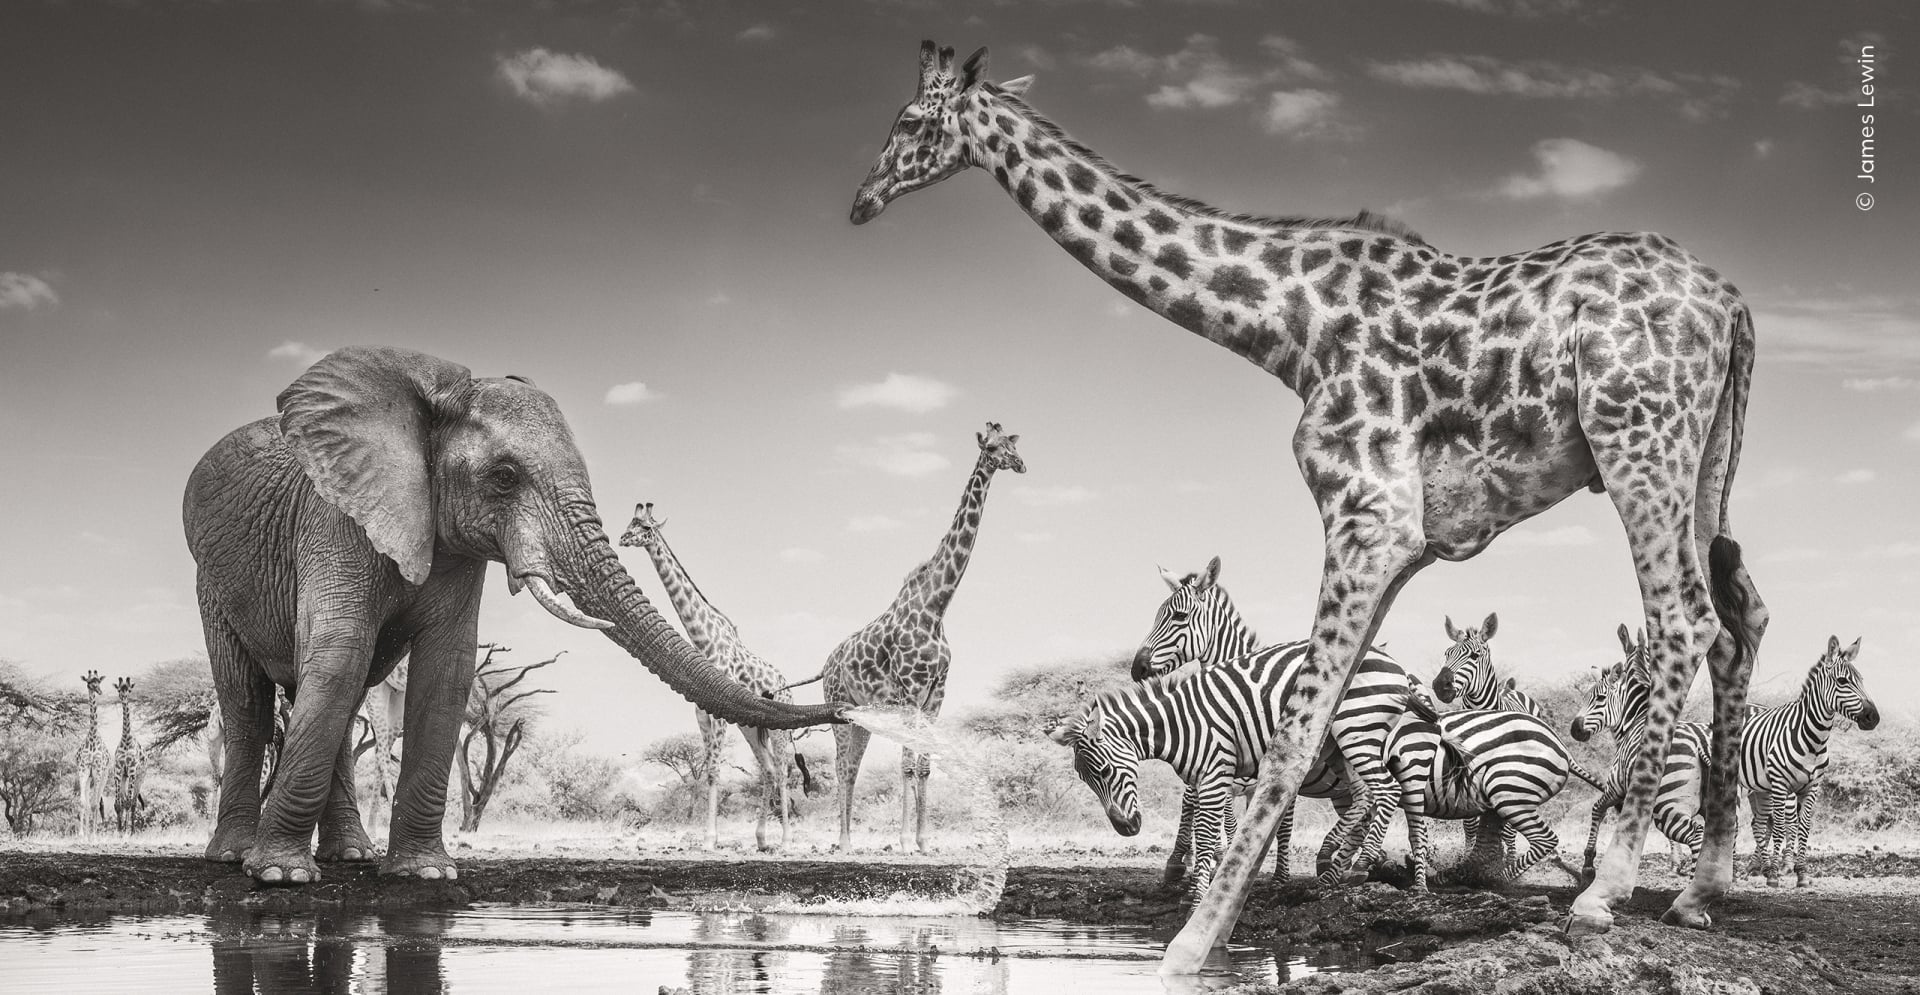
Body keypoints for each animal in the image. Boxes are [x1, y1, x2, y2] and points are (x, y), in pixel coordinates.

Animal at [619, 502, 812, 851]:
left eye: (647, 528)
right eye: (631, 523)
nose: (623, 538)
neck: (704, 640)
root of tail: (787, 687)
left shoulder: (720, 715)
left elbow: (714, 771)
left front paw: (710, 839)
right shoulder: (701, 711)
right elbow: (710, 768)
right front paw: (711, 836)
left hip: (778, 729)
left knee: (783, 770)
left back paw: (786, 840)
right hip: (752, 728)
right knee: (767, 769)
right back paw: (761, 839)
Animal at [819, 422, 1024, 852]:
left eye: (1014, 444)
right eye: (992, 447)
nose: (1020, 464)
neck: (937, 606)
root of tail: (826, 662)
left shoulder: (936, 696)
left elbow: (925, 765)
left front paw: (925, 841)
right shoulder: (910, 694)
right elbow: (907, 765)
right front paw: (902, 841)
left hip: (862, 717)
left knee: (852, 768)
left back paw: (850, 840)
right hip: (838, 707)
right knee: (842, 766)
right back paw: (843, 842)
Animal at [851, 43, 1765, 969]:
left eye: (911, 121)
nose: (862, 200)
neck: (1291, 328)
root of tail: (1730, 303)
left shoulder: (1368, 513)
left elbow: (1293, 737)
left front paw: (1190, 943)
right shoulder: (1400, 542)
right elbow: (1317, 725)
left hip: (1636, 439)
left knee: (1684, 618)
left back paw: (1603, 895)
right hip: (1703, 461)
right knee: (1740, 617)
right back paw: (1699, 893)